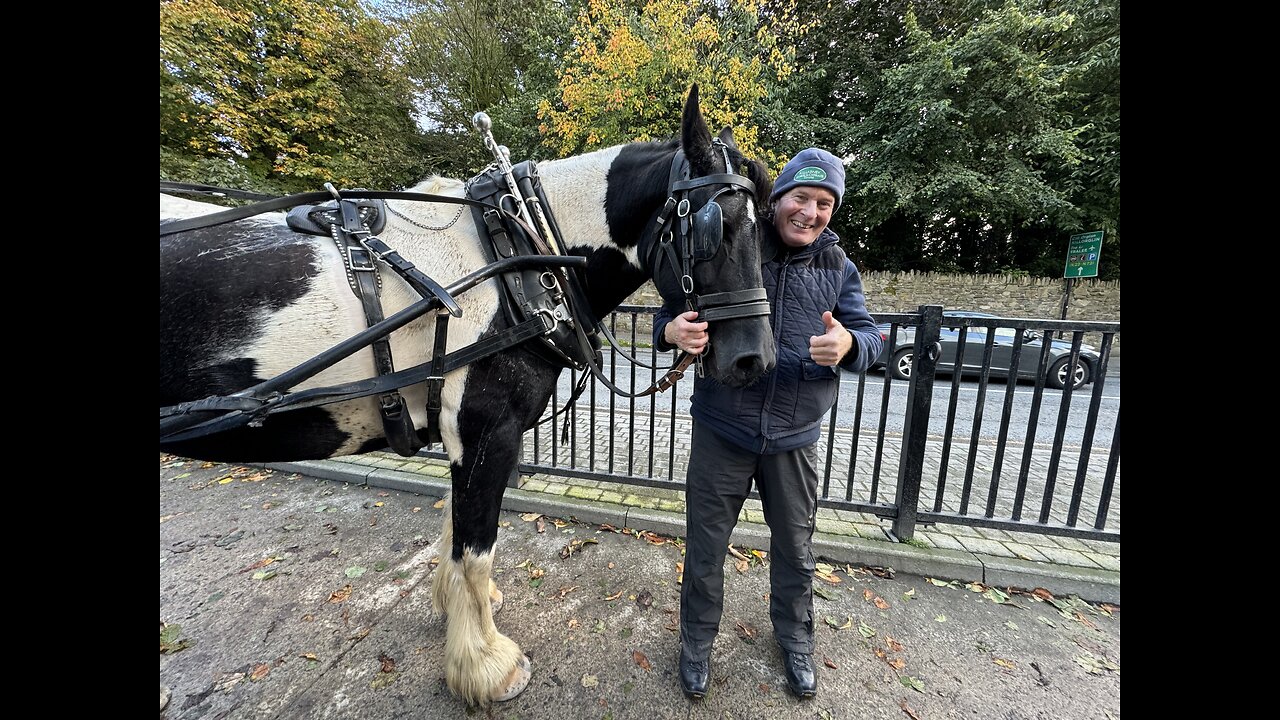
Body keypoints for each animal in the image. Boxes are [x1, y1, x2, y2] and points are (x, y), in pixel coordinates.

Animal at [162, 87, 778, 702]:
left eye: (765, 228)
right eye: (714, 226)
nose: (757, 360)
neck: (514, 258)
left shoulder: (461, 434)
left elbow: (454, 530)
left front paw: (455, 609)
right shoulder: (486, 431)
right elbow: (476, 550)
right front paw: (486, 663)